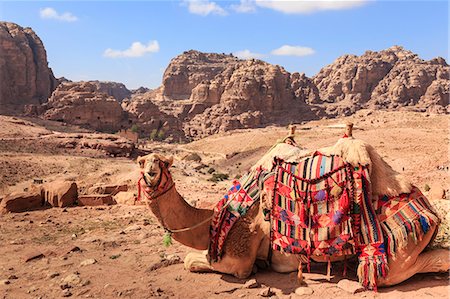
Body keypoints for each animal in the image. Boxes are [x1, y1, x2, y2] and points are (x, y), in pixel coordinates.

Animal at [137, 124, 450, 290]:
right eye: (142, 161)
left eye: (162, 163)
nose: (150, 175)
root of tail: (428, 211)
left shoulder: (239, 258)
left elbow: (193, 262)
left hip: (397, 256)